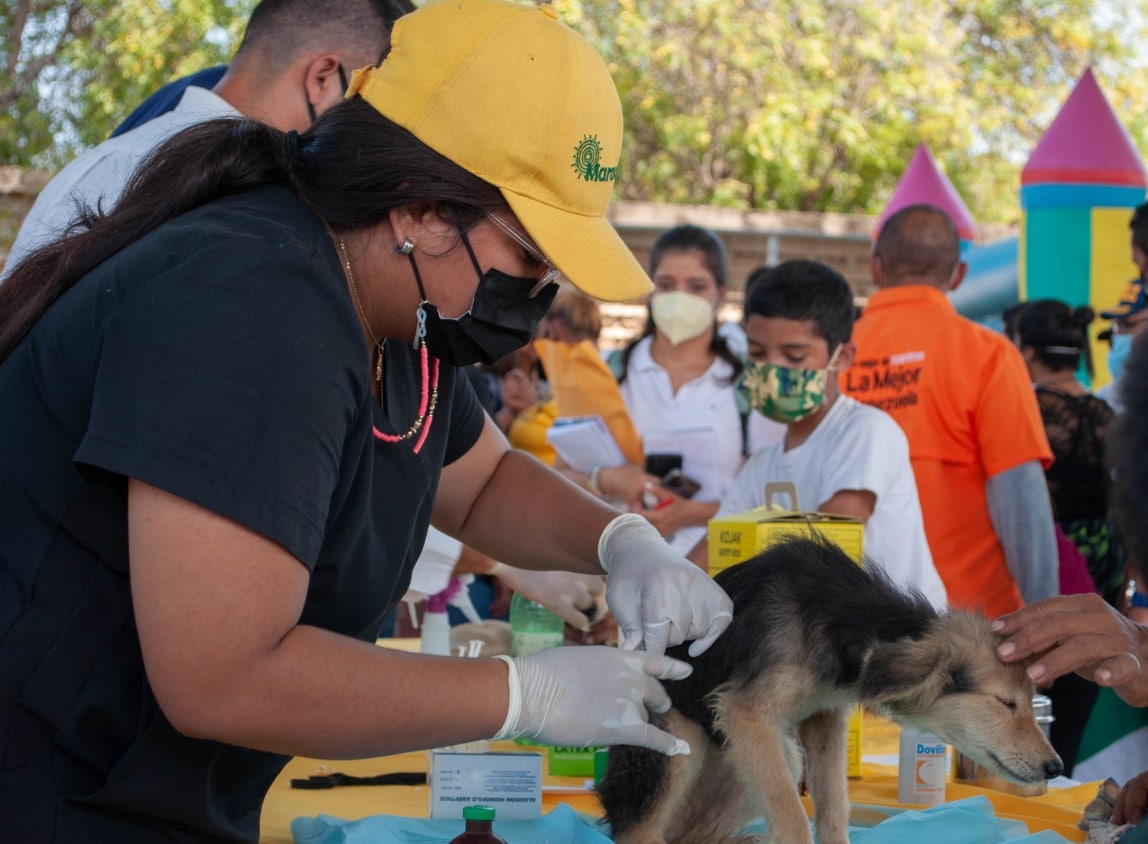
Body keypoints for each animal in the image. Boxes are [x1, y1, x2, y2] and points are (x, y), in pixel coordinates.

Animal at [596, 537, 1060, 844]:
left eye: (1028, 700)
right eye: (1006, 703)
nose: (1055, 768)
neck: (837, 620)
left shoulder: (824, 717)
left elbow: (835, 805)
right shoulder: (744, 712)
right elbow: (792, 815)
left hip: (759, 760)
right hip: (682, 741)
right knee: (638, 829)